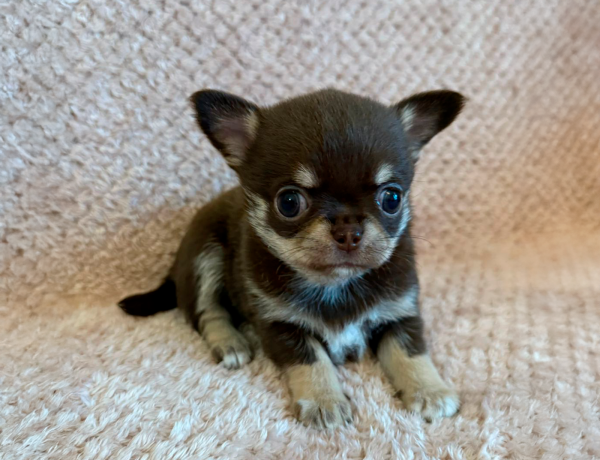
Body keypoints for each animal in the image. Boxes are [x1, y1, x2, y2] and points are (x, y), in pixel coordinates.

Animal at [119, 87, 465, 429]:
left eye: (392, 198)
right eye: (288, 203)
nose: (348, 229)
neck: (335, 284)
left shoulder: (399, 313)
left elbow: (411, 353)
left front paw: (429, 390)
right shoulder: (279, 325)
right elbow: (311, 360)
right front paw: (325, 400)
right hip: (205, 254)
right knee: (207, 312)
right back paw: (230, 343)